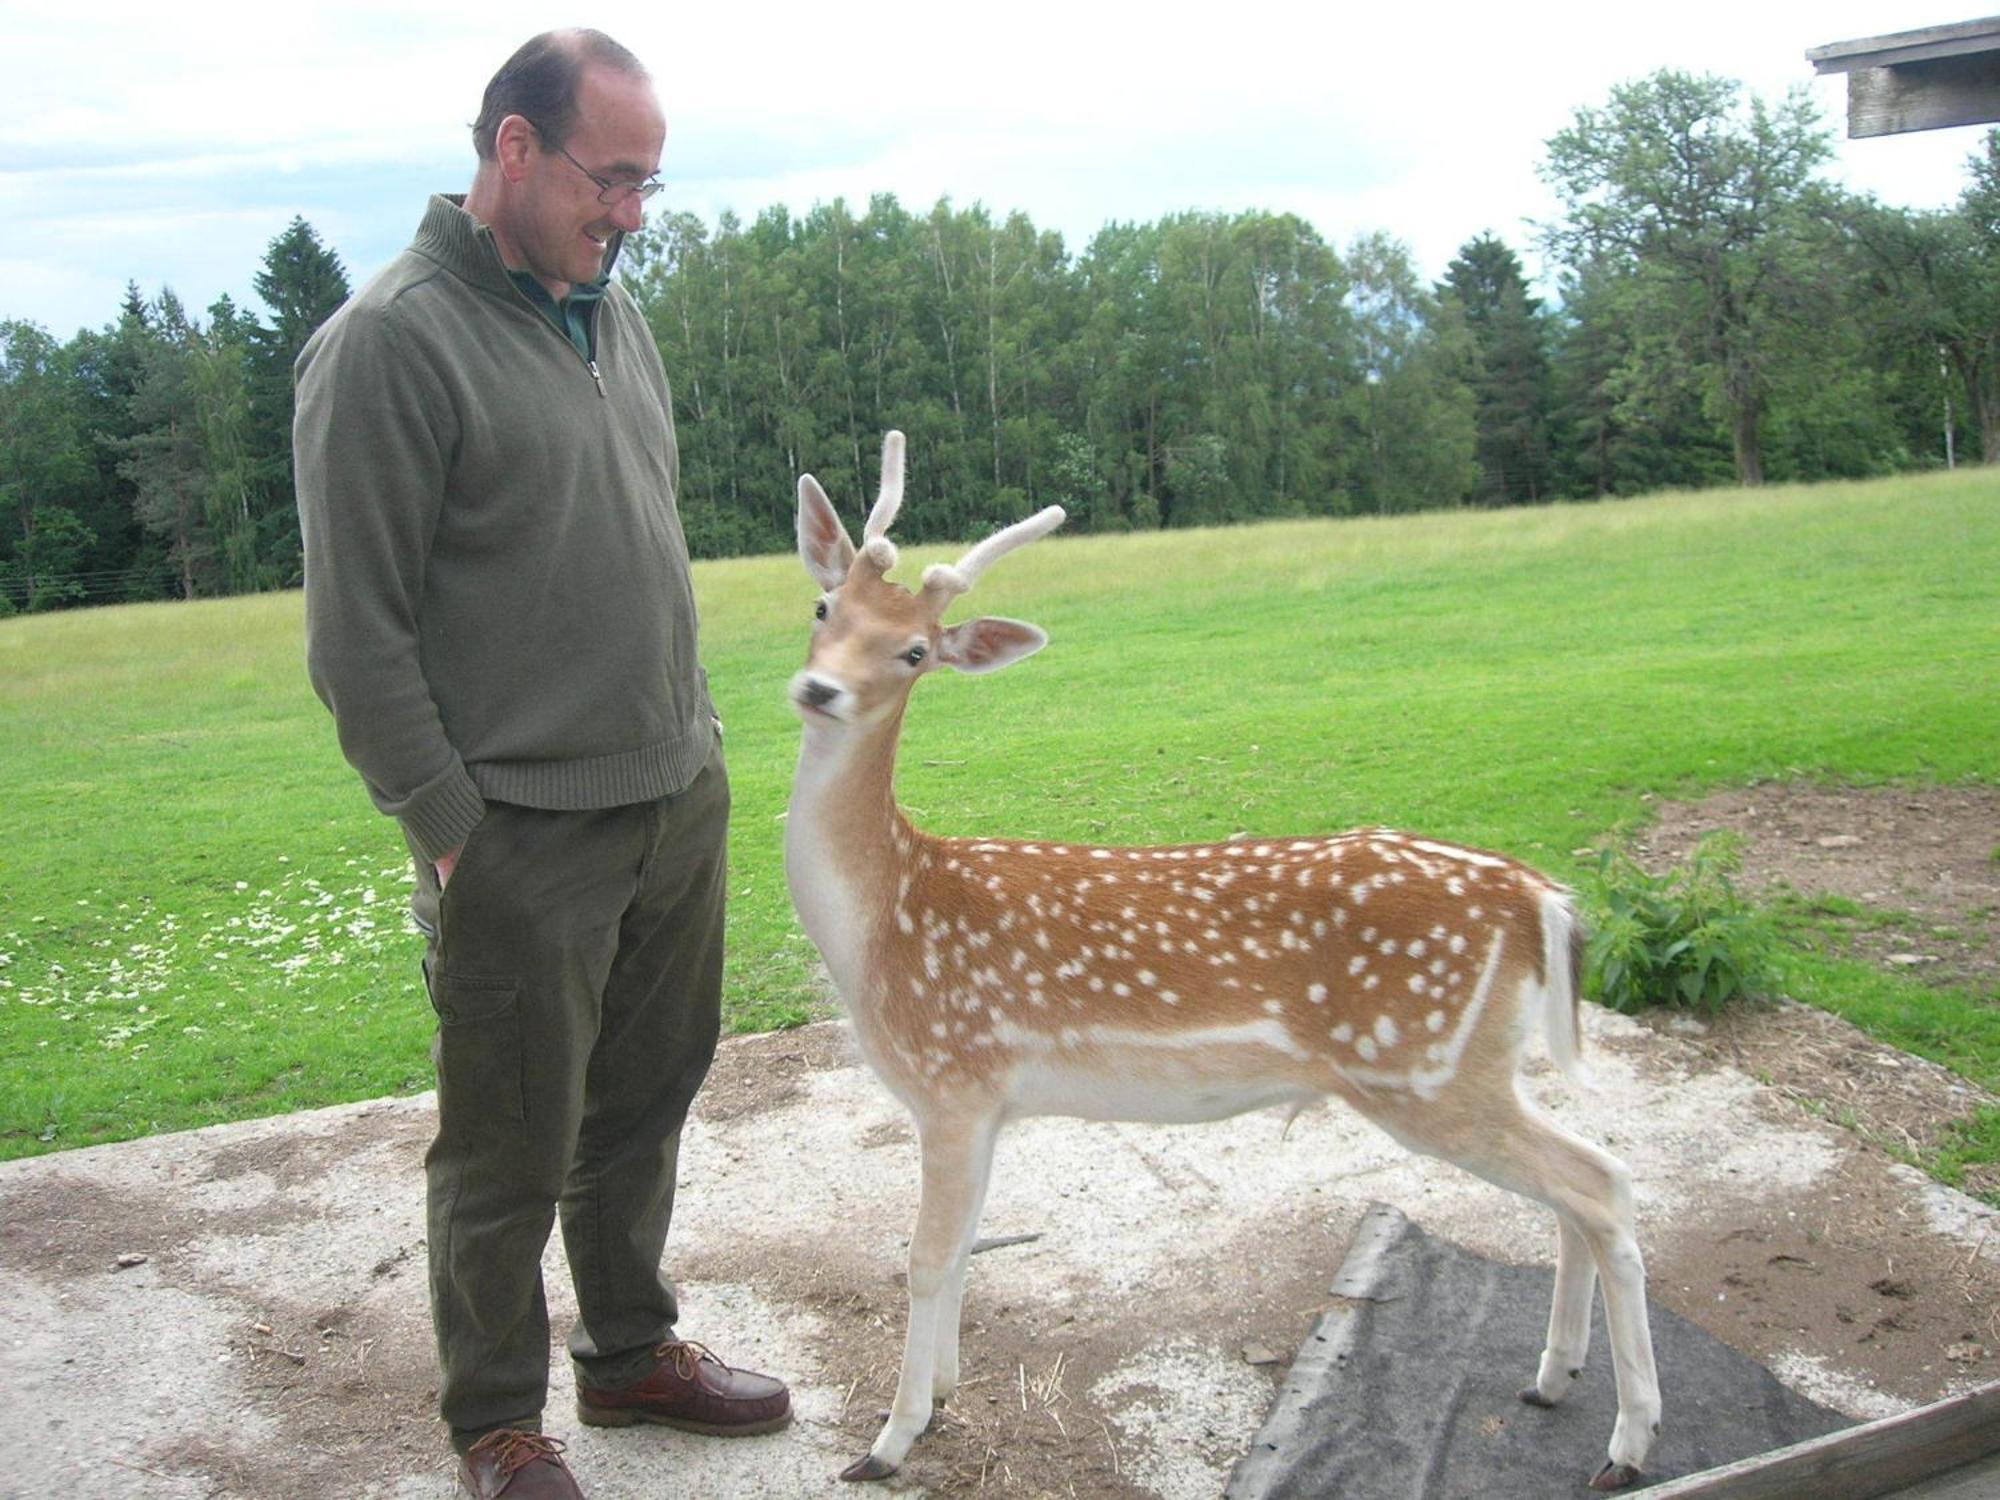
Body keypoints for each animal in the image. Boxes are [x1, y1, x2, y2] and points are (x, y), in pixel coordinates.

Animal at [788, 432, 1664, 1496]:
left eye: (915, 650)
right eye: (823, 608)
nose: (819, 691)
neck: (886, 923)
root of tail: (1541, 898)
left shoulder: (953, 1078)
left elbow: (922, 1257)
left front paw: (890, 1439)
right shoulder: (988, 1101)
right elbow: (962, 1252)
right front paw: (948, 1390)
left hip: (1423, 1068)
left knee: (1602, 1184)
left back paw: (1628, 1443)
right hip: (1466, 1067)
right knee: (1579, 1188)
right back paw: (1553, 1377)